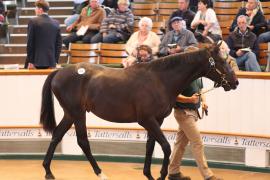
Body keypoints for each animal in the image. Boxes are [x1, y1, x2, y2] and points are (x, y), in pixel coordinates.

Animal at [40, 42, 238, 180]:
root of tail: (59, 72)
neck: (160, 79)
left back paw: (48, 171)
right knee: (82, 141)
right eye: (221, 61)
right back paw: (100, 173)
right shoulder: (147, 120)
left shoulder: (157, 121)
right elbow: (165, 146)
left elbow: (150, 146)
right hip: (78, 113)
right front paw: (161, 174)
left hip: (70, 114)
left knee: (56, 135)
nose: (235, 82)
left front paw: (148, 174)